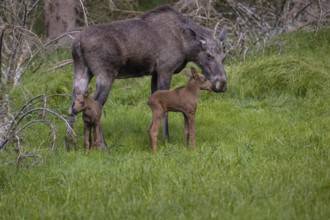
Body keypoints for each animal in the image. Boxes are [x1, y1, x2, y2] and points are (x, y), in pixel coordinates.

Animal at [67, 5, 227, 148]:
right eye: (209, 55)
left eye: (224, 57)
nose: (221, 84)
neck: (186, 46)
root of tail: (77, 43)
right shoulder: (165, 69)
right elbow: (165, 110)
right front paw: (167, 140)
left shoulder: (154, 73)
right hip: (105, 75)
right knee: (95, 107)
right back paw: (103, 146)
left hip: (81, 71)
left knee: (72, 107)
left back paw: (69, 145)